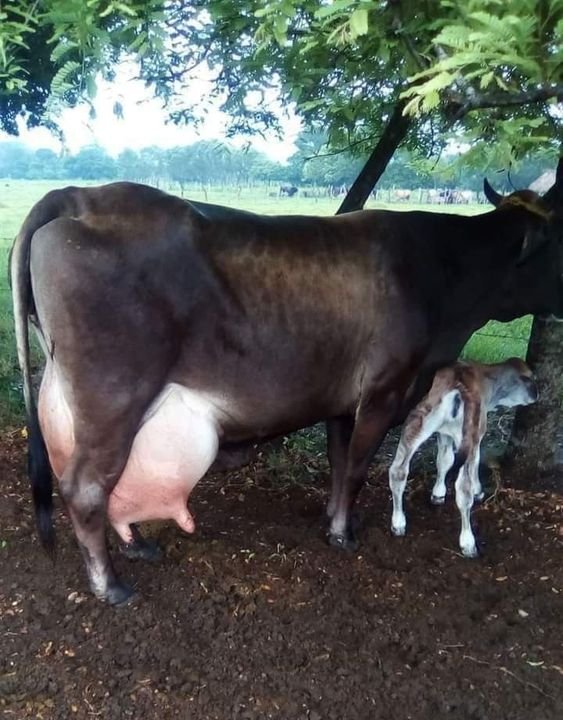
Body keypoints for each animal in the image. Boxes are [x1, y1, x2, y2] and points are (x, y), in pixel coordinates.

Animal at [389, 359, 538, 557]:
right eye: (531, 378)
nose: (537, 394)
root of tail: (458, 381)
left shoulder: (444, 433)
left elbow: (444, 460)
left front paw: (438, 493)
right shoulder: (478, 435)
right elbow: (474, 463)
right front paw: (478, 491)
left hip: (417, 420)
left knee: (397, 471)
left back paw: (398, 523)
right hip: (469, 431)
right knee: (463, 490)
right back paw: (468, 543)